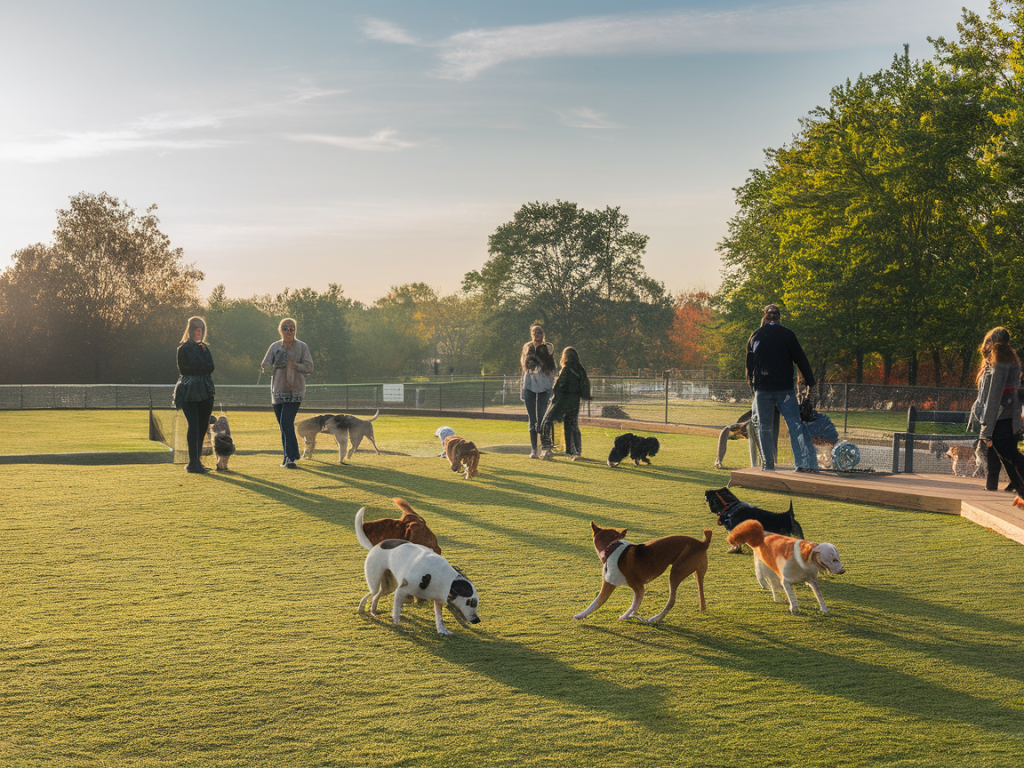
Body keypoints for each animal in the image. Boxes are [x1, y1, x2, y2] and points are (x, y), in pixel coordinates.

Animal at [354, 505, 481, 638]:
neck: (447, 580)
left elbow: (439, 617)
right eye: (470, 602)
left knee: (376, 595)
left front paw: (442, 629)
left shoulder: (438, 600)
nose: (477, 620)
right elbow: (397, 610)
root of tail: (376, 546)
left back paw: (370, 610)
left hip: (389, 586)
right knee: (373, 593)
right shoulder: (402, 590)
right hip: (376, 580)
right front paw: (396, 621)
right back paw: (365, 608)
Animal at [573, 524, 708, 626]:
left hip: (676, 571)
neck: (612, 546)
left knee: (671, 600)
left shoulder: (633, 587)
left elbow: (597, 603)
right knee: (701, 595)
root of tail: (703, 543)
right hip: (698, 573)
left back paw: (655, 619)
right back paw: (702, 610)